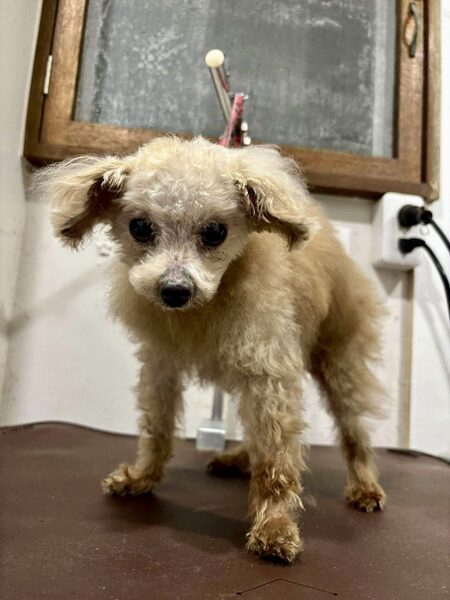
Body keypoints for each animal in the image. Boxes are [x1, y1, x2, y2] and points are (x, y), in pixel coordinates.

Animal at [38, 136, 386, 563]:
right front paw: (142, 477)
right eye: (140, 227)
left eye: (215, 231)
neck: (204, 307)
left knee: (354, 432)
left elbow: (275, 456)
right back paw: (238, 459)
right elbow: (158, 427)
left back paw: (364, 485)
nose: (174, 291)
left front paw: (274, 526)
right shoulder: (161, 366)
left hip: (339, 366)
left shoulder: (268, 373)